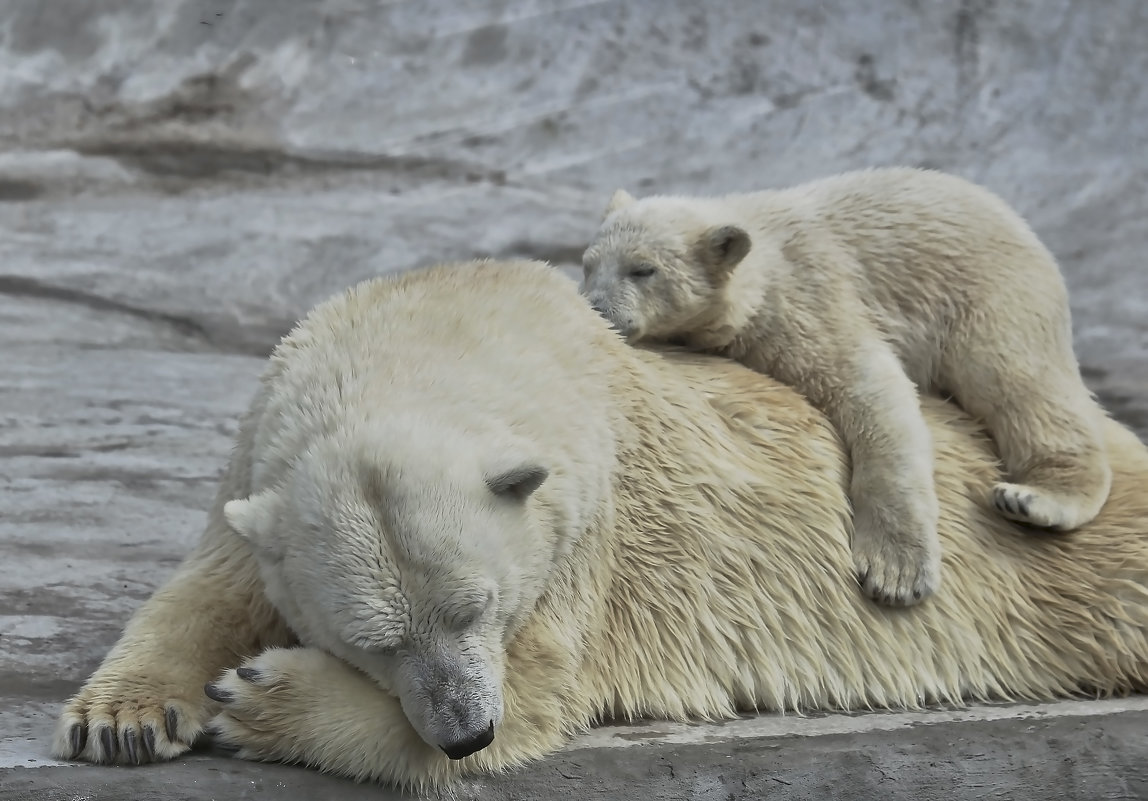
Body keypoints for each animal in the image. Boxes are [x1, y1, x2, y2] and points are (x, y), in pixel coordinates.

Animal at [58, 260, 1148, 784]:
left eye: (478, 607)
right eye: (373, 638)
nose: (465, 728)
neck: (439, 320)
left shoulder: (582, 537)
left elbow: (540, 694)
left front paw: (257, 696)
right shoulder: (264, 450)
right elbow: (211, 579)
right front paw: (123, 718)